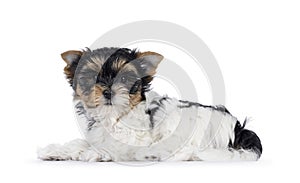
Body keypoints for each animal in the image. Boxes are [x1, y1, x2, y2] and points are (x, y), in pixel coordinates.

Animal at [38, 46, 262, 162]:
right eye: (92, 77)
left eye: (125, 78)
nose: (108, 91)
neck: (114, 117)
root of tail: (239, 129)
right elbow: (82, 142)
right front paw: (57, 151)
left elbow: (118, 148)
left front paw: (93, 153)